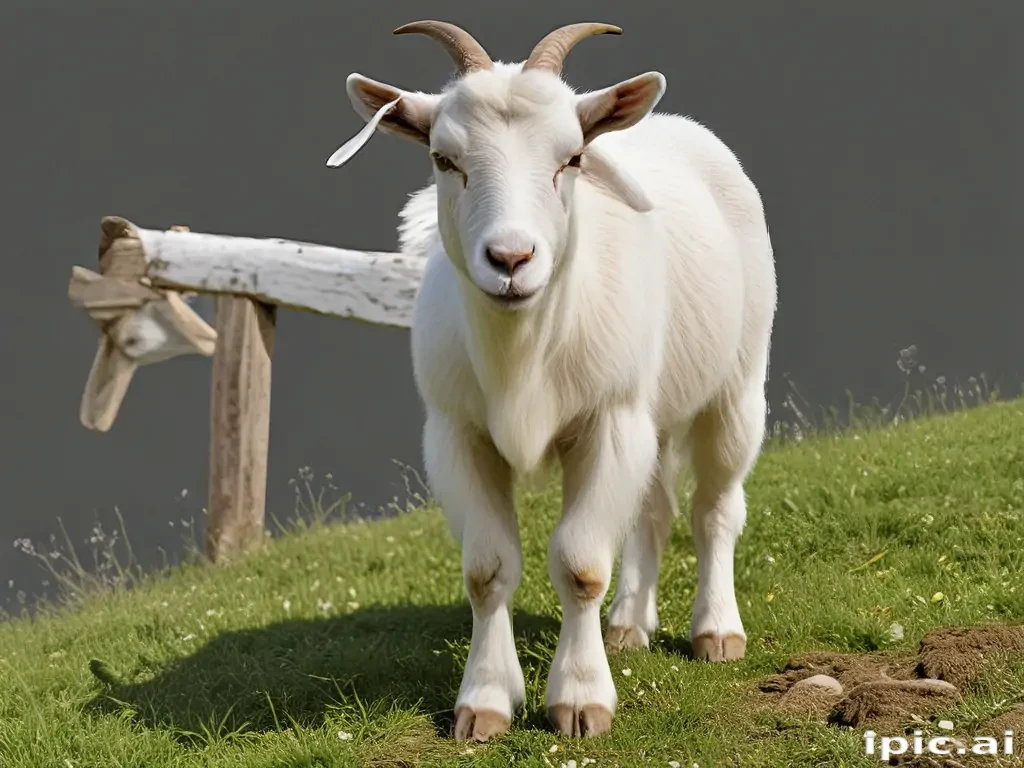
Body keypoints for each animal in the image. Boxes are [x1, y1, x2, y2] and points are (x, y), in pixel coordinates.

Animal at [327, 20, 778, 741]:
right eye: (443, 160)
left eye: (571, 159)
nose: (511, 259)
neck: (522, 354)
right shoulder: (457, 434)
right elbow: (487, 569)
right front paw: (484, 702)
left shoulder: (609, 421)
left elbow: (581, 563)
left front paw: (581, 699)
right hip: (650, 412)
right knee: (653, 510)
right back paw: (628, 625)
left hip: (735, 388)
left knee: (714, 509)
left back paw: (715, 630)